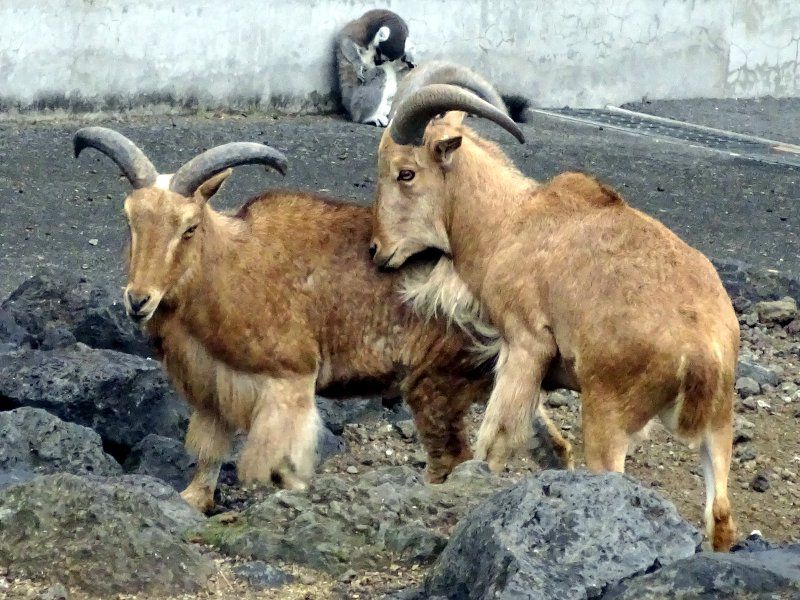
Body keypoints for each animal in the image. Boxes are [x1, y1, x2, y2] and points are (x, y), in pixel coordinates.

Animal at [72, 126, 573, 512]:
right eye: (130, 219)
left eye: (189, 226)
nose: (139, 300)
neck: (230, 266)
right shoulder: (214, 392)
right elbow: (208, 460)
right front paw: (195, 501)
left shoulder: (289, 382)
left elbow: (280, 467)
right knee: (547, 439)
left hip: (436, 385)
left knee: (451, 458)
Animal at [368, 74, 740, 551]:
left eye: (406, 173)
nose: (378, 250)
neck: (506, 223)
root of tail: (702, 348)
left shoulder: (525, 344)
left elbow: (497, 438)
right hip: (720, 423)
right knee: (720, 514)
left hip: (607, 418)